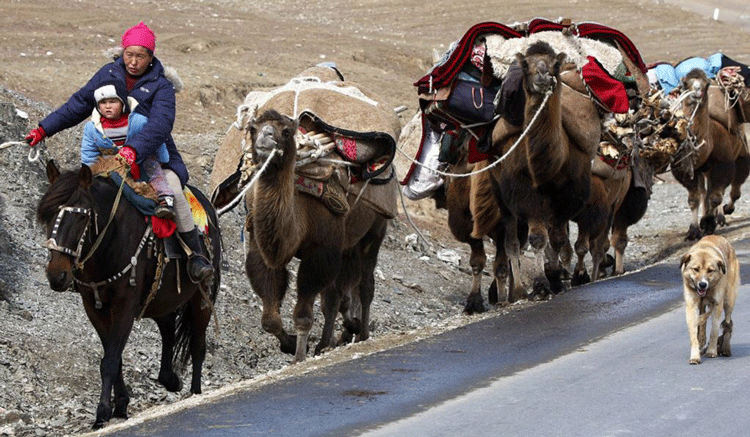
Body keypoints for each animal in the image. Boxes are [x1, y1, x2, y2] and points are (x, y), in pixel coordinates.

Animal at [36, 159, 220, 426]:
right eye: (47, 215)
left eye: (81, 217)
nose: (57, 275)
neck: (110, 240)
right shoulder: (94, 308)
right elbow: (114, 356)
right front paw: (120, 405)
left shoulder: (124, 305)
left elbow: (110, 360)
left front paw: (102, 412)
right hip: (159, 297)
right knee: (167, 326)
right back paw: (169, 378)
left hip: (201, 296)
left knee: (197, 343)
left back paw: (195, 391)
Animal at [244, 109, 394, 362]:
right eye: (253, 129)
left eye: (286, 131)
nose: (266, 138)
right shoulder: (262, 251)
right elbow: (270, 319)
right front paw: (290, 344)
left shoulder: (321, 251)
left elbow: (304, 315)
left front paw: (299, 357)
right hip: (347, 245)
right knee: (340, 293)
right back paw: (336, 337)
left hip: (374, 230)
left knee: (364, 285)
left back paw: (360, 334)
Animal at [680, 235, 740, 364]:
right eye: (696, 269)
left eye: (710, 270)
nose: (703, 284)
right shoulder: (691, 305)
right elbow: (694, 331)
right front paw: (695, 355)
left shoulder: (717, 304)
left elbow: (714, 329)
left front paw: (712, 351)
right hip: (702, 305)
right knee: (703, 321)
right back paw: (702, 341)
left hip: (729, 300)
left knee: (727, 323)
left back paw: (725, 348)